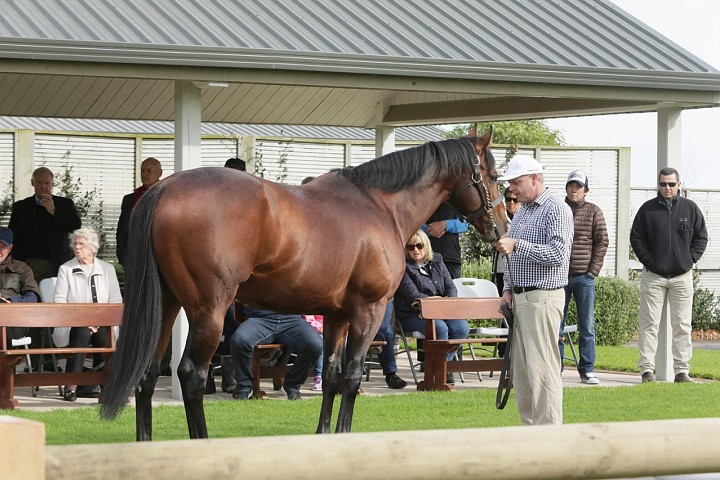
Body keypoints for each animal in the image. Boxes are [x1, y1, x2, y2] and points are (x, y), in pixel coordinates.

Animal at [100, 126, 506, 438]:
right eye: (492, 175)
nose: (500, 228)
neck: (379, 207)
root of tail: (163, 189)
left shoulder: (337, 315)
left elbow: (333, 375)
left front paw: (324, 434)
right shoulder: (368, 310)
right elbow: (353, 376)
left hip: (166, 305)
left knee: (147, 374)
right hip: (208, 311)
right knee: (191, 374)